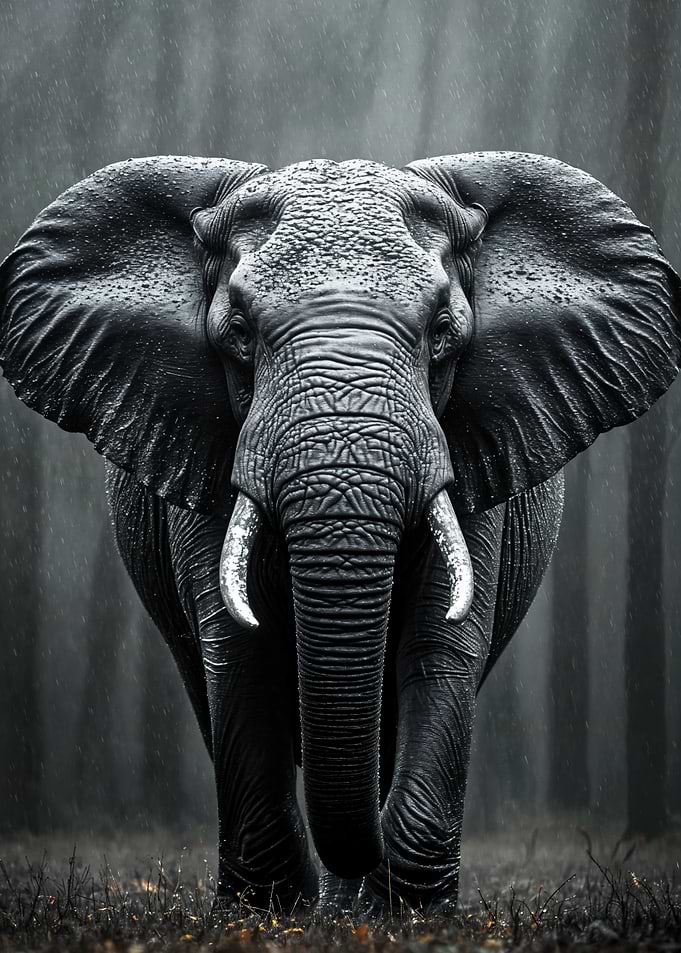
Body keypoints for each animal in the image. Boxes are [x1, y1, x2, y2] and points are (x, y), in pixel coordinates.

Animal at [1, 152, 679, 916]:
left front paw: (410, 914)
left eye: (443, 328)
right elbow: (241, 650)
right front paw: (265, 913)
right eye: (238, 330)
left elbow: (439, 645)